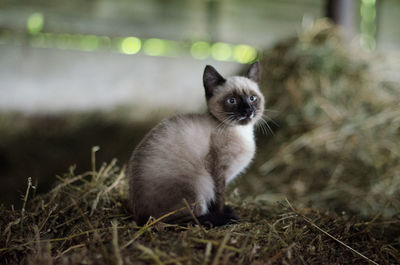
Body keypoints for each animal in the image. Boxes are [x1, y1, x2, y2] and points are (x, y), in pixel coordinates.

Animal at [128, 61, 264, 225]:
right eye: (232, 101)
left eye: (252, 98)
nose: (248, 110)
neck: (242, 132)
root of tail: (141, 220)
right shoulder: (218, 174)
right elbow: (219, 200)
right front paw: (224, 213)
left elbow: (216, 202)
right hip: (200, 183)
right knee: (182, 221)